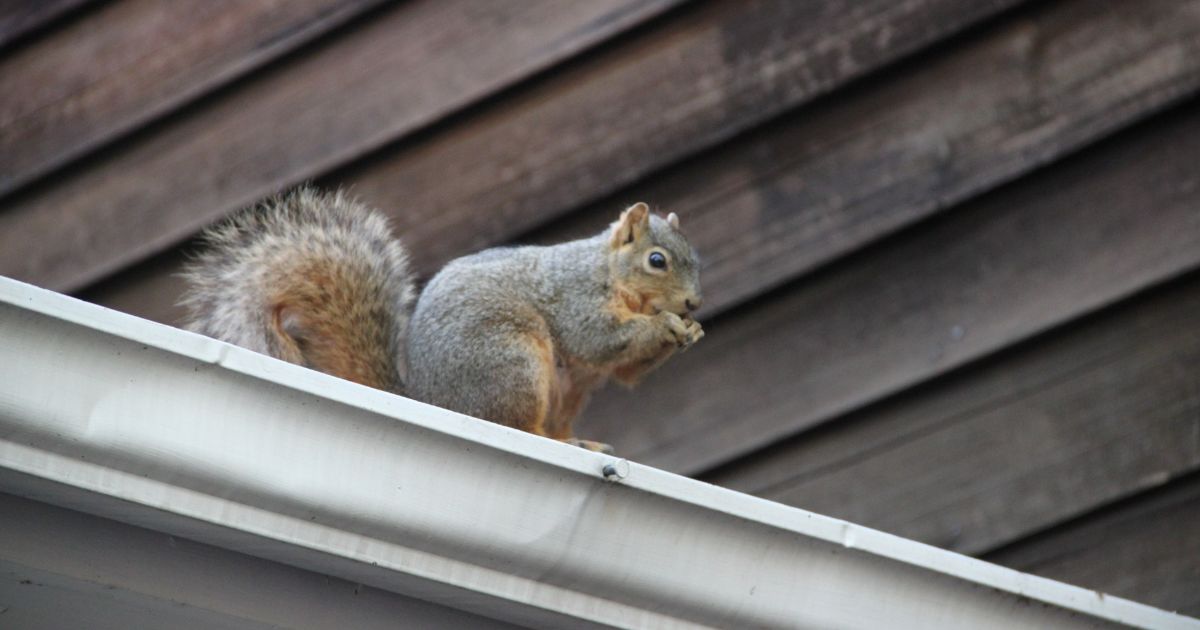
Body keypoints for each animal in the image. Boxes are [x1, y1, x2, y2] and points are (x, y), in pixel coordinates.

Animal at [177, 187, 700, 451]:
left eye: (696, 260)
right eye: (657, 261)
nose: (693, 304)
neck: (609, 273)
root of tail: (431, 400)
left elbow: (626, 371)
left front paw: (688, 332)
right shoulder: (575, 298)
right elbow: (599, 340)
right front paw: (666, 327)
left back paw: (579, 443)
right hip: (511, 363)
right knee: (513, 423)